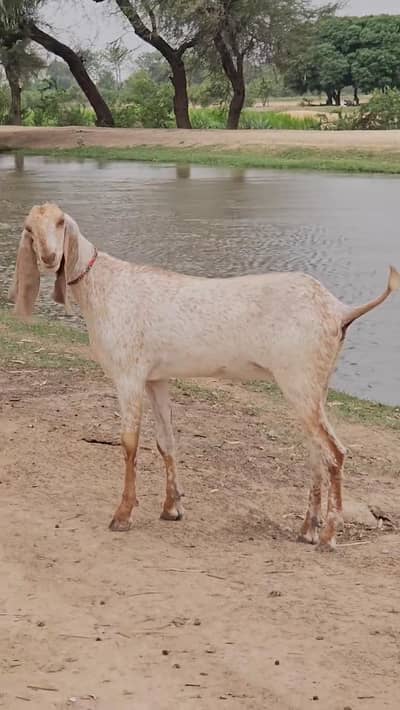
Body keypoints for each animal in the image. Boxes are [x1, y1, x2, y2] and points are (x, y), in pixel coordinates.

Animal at [10, 202, 400, 549]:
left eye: (60, 222)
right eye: (29, 228)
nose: (49, 256)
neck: (103, 286)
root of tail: (338, 309)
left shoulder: (128, 376)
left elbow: (129, 443)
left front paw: (122, 515)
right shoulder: (155, 378)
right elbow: (165, 441)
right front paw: (172, 508)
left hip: (300, 382)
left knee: (335, 452)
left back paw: (329, 537)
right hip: (315, 386)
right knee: (317, 454)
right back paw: (307, 530)